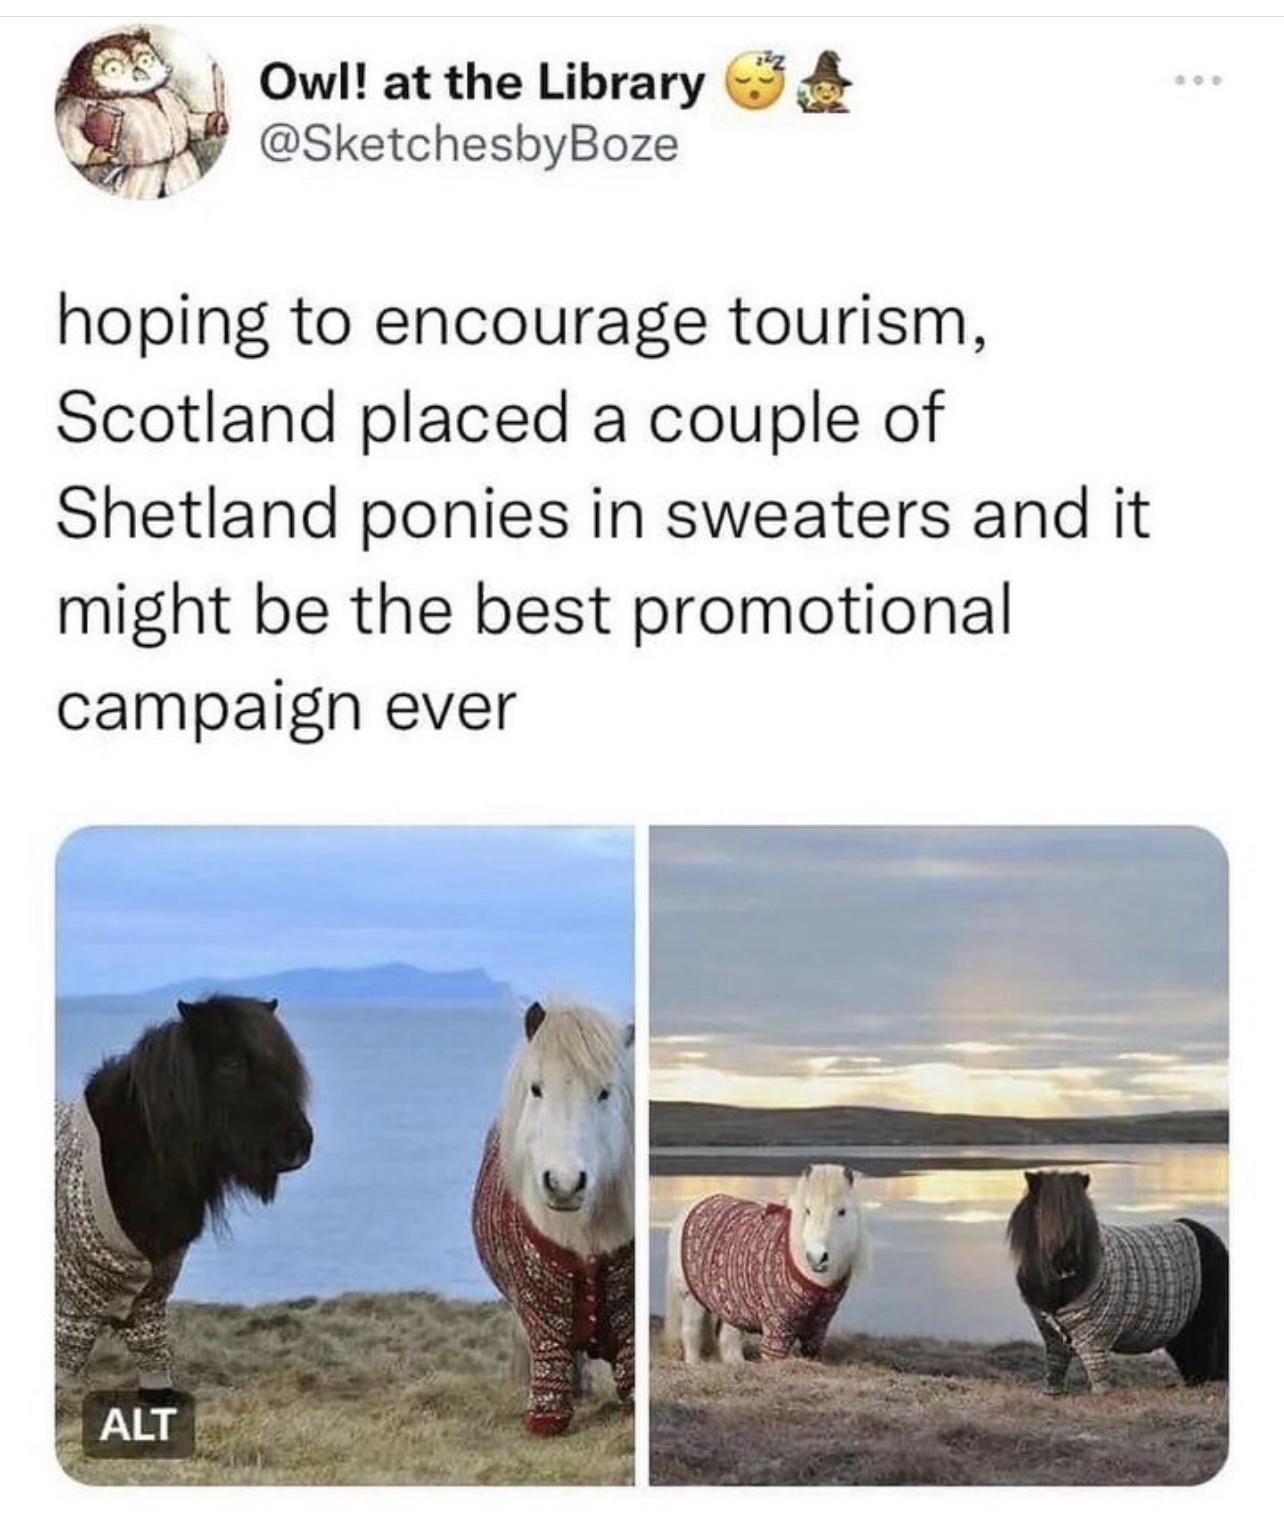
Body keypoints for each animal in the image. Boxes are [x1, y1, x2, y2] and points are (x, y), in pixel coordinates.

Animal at [472, 1000, 635, 1434]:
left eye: (604, 1092)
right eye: (537, 1088)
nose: (564, 1184)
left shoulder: (627, 1318)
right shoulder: (543, 1318)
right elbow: (549, 1371)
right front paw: (547, 1417)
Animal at [666, 1162, 868, 1364]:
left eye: (842, 1212)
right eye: (807, 1210)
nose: (817, 1257)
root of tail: (693, 1206)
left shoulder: (817, 1328)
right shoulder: (777, 1328)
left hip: (729, 1304)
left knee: (727, 1338)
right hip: (691, 1296)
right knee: (691, 1332)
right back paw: (694, 1364)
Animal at [1006, 1169, 1228, 1394]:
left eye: (1080, 1215)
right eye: (1042, 1213)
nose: (1067, 1260)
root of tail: (1211, 1237)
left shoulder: (1095, 1340)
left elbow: (1098, 1374)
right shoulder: (1052, 1338)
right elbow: (1055, 1367)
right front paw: (1051, 1393)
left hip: (1203, 1322)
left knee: (1204, 1354)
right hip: (1182, 1326)